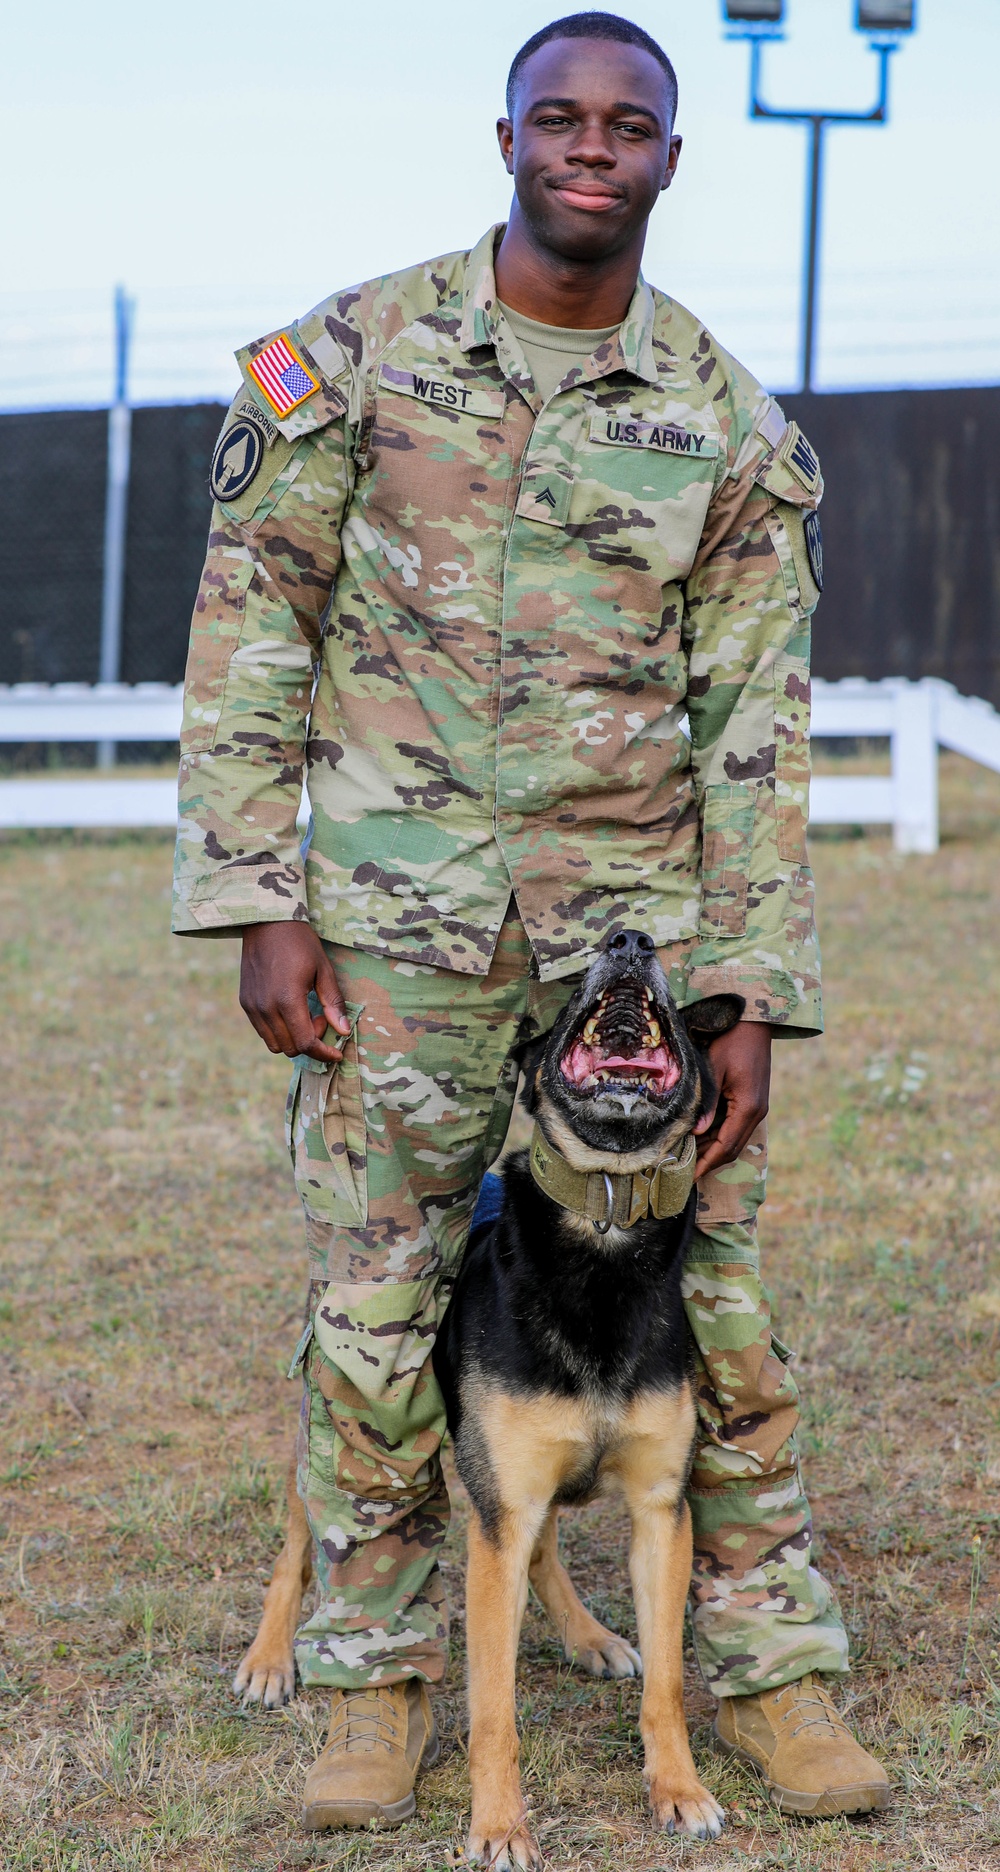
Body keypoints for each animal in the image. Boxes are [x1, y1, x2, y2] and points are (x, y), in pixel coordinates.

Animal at [235, 928, 745, 1864]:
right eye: (577, 986)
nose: (629, 939)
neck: (605, 1220)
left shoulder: (659, 1510)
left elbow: (666, 1684)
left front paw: (679, 1791)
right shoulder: (499, 1512)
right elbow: (493, 1708)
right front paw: (500, 1828)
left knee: (539, 1550)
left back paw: (589, 1638)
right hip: (340, 1402)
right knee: (303, 1534)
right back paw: (268, 1660)